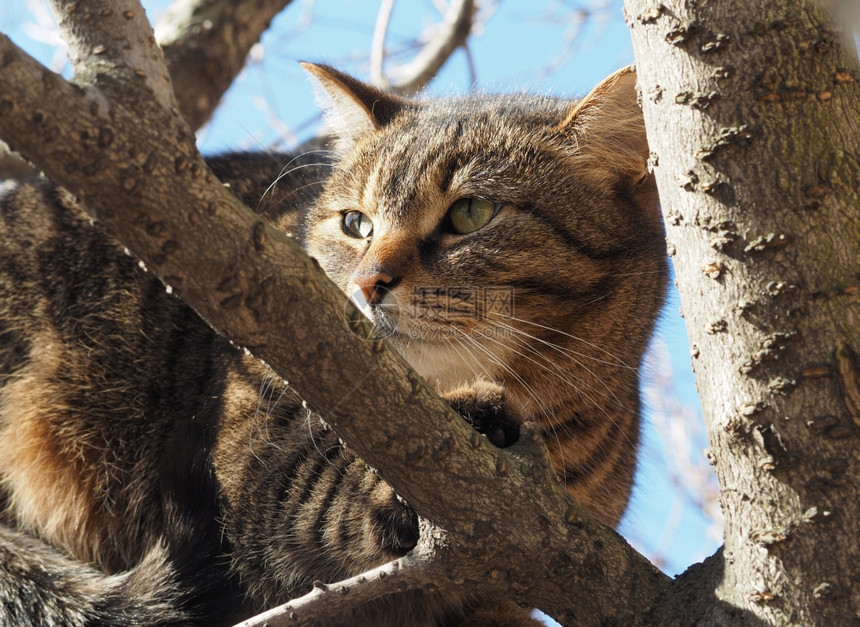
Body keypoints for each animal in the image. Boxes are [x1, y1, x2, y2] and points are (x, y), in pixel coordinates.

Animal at [0, 65, 664, 627]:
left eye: (472, 213)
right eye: (355, 224)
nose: (368, 282)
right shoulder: (251, 468)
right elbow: (320, 487)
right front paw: (470, 420)